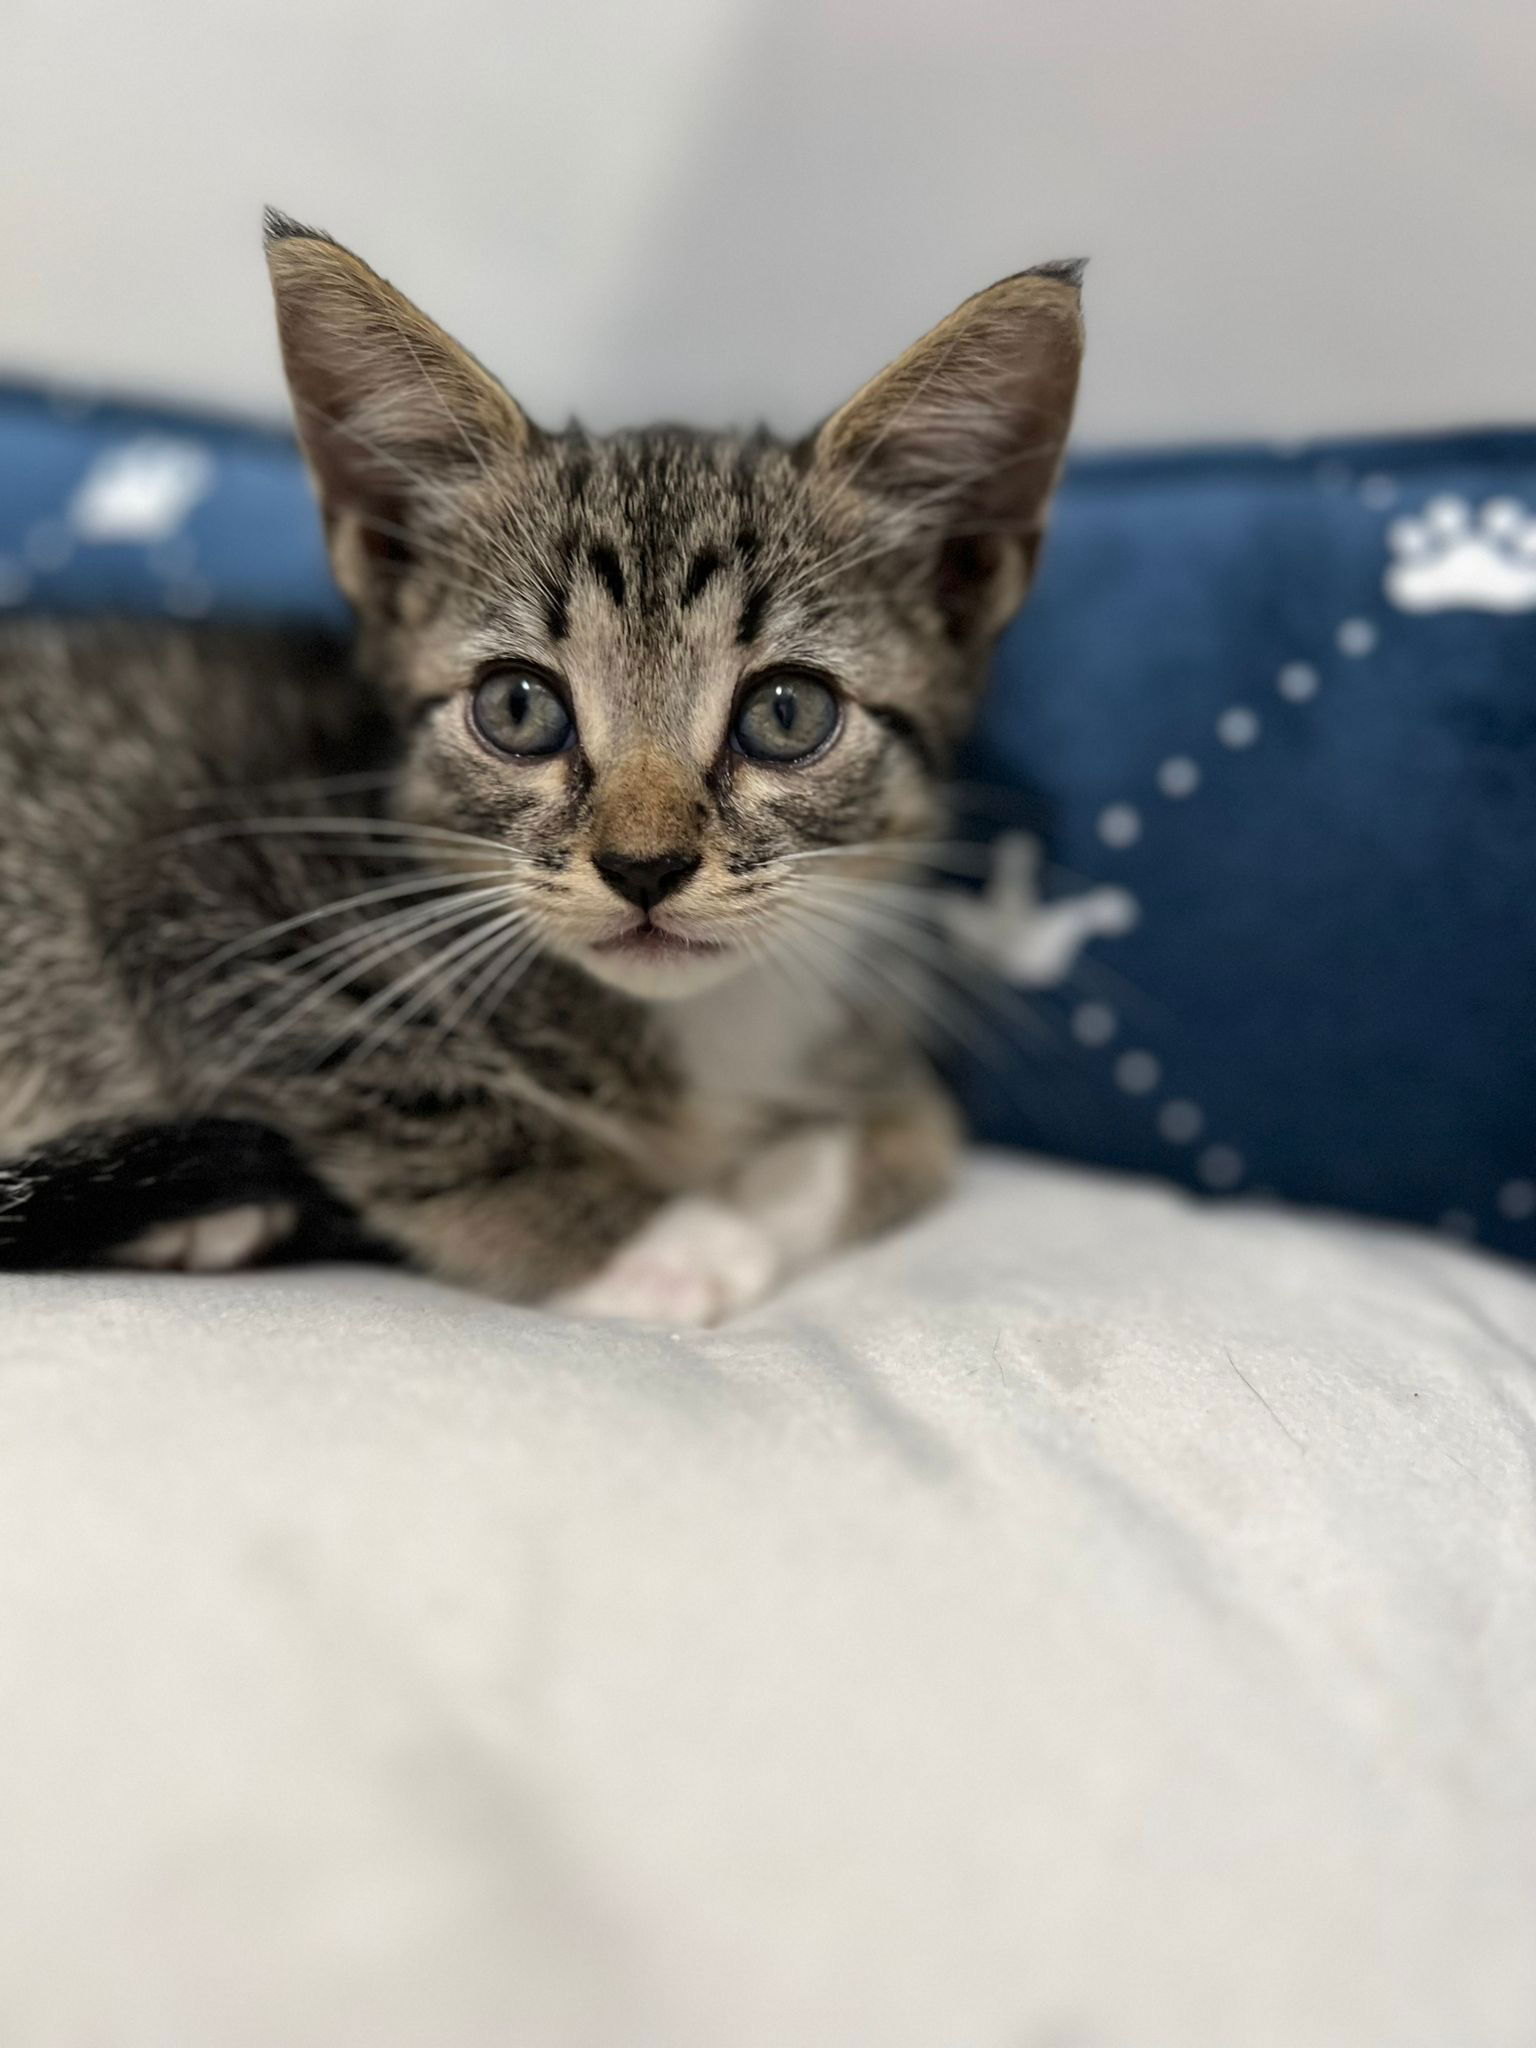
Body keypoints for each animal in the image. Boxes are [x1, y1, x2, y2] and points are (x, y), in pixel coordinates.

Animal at [0, 216, 1089, 1318]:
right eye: (519, 708)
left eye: (788, 713)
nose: (644, 867)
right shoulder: (199, 902)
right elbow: (418, 1094)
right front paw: (666, 1241)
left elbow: (920, 1129)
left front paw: (801, 1170)